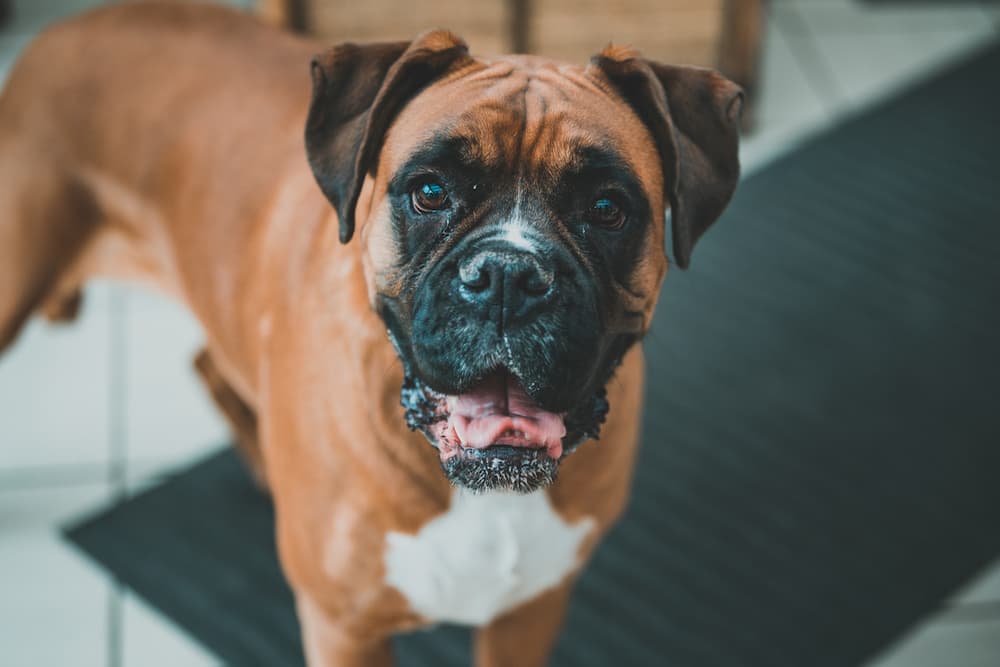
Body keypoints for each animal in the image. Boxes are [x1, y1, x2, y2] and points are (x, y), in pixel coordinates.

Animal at [0, 2, 744, 664]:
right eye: (430, 191)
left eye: (607, 207)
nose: (507, 275)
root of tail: (57, 34)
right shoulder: (343, 630)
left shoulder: (529, 612)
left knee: (208, 362)